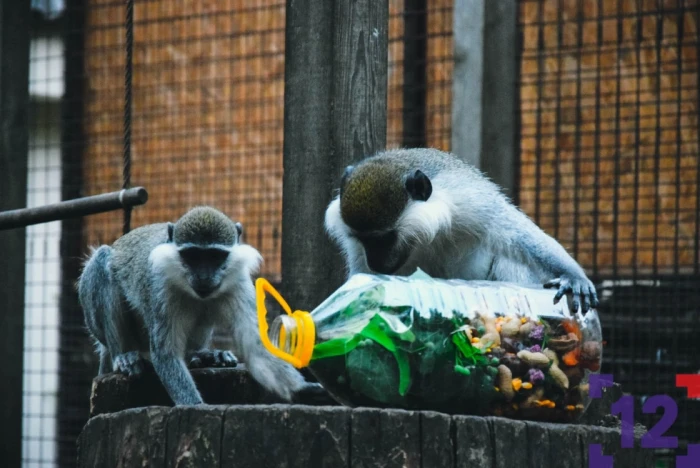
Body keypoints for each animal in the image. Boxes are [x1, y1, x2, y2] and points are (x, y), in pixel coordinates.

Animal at [78, 207, 318, 404]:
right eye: (193, 256)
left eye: (214, 256)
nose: (203, 277)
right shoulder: (161, 288)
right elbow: (166, 355)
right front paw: (195, 406)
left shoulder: (239, 284)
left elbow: (256, 348)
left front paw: (303, 390)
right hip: (102, 330)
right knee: (101, 259)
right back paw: (124, 356)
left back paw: (201, 355)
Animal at [326, 148, 600, 312]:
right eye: (362, 240)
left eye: (384, 239)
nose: (374, 262)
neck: (426, 234)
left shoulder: (470, 200)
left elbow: (521, 236)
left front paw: (573, 276)